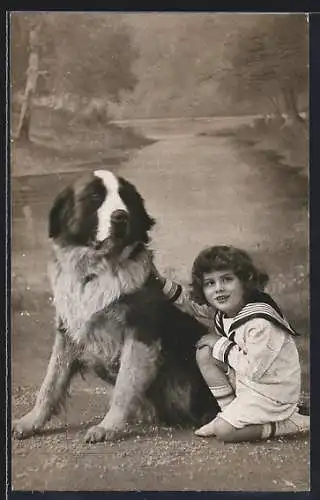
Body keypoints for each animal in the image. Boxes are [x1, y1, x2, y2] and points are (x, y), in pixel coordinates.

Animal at [11, 171, 219, 442]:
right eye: (94, 196)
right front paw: (30, 421)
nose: (121, 216)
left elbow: (125, 385)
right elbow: (50, 384)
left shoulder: (140, 335)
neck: (94, 273)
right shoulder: (67, 333)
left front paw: (108, 427)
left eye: (125, 197)